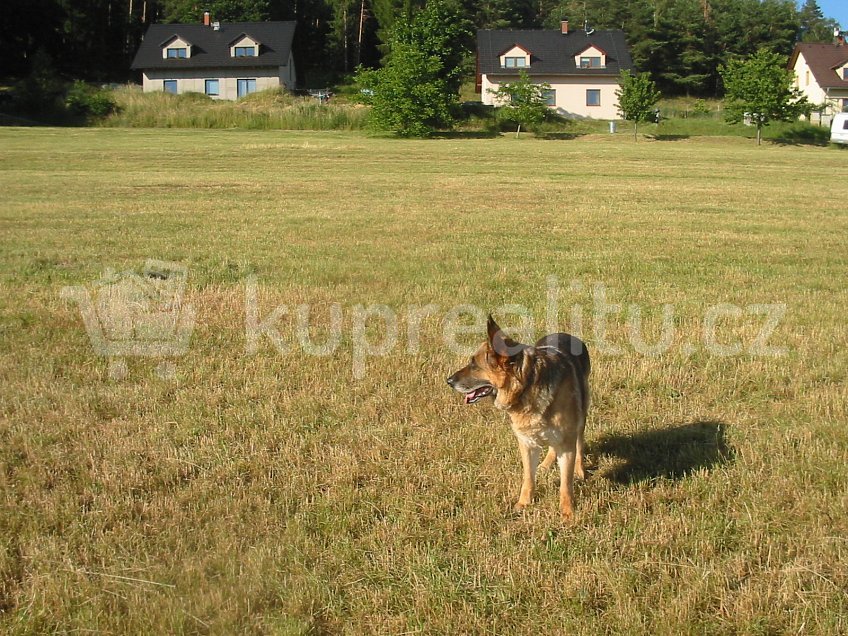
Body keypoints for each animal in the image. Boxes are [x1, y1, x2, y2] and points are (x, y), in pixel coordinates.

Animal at [450, 316, 588, 520]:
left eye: (474, 364)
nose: (448, 381)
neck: (527, 385)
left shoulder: (566, 444)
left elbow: (565, 484)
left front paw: (567, 513)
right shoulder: (527, 444)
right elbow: (528, 478)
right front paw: (523, 504)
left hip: (580, 421)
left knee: (579, 444)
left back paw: (579, 470)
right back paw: (546, 464)